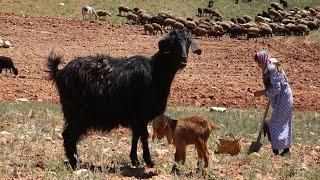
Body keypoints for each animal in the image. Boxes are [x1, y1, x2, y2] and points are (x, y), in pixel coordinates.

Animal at [46, 28, 201, 169]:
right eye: (173, 43)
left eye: (188, 42)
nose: (184, 58)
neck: (156, 71)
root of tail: (59, 72)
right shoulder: (141, 114)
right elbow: (144, 136)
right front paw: (149, 161)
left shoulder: (137, 118)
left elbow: (136, 136)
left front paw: (135, 160)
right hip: (78, 113)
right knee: (68, 135)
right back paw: (75, 163)